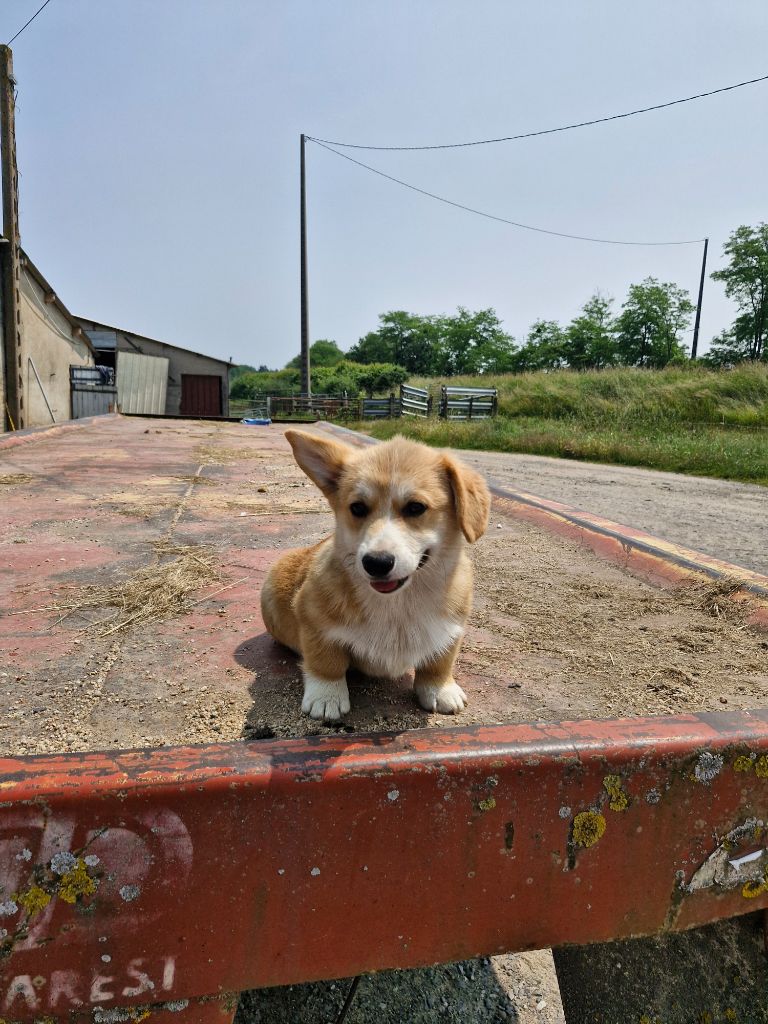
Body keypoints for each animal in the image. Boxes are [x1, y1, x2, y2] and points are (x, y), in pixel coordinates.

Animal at [260, 429, 491, 722]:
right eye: (358, 508)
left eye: (416, 507)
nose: (376, 563)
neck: (398, 604)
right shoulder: (314, 621)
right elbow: (326, 662)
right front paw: (326, 697)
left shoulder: (452, 629)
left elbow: (440, 661)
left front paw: (440, 690)